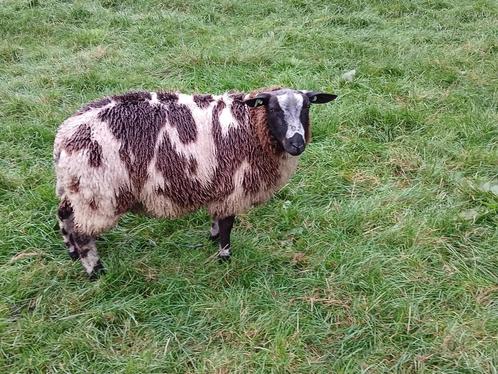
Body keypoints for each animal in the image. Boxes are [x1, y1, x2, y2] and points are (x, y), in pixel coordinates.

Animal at [52, 87, 336, 274]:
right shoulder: (233, 187)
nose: (296, 143)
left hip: (78, 189)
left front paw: (212, 237)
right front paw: (224, 257)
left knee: (64, 214)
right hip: (98, 192)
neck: (250, 126)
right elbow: (227, 224)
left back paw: (71, 252)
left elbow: (218, 220)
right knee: (82, 232)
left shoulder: (219, 184)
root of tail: (63, 137)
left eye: (307, 107)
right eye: (274, 108)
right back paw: (95, 269)